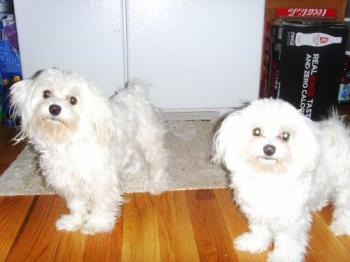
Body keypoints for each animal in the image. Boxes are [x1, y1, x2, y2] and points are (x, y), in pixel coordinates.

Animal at [9, 67, 168, 233]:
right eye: (46, 93)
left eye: (73, 100)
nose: (54, 108)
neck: (66, 141)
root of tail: (136, 93)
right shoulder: (70, 182)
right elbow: (76, 205)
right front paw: (74, 222)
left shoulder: (102, 181)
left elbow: (102, 204)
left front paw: (97, 224)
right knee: (136, 156)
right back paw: (132, 169)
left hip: (149, 141)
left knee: (158, 162)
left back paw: (156, 185)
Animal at [212, 99, 350, 262]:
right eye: (256, 131)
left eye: (285, 136)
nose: (269, 149)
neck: (268, 175)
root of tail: (342, 131)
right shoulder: (257, 211)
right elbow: (259, 229)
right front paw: (254, 243)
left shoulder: (291, 220)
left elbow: (288, 241)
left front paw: (283, 257)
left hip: (345, 188)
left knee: (345, 208)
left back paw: (341, 226)